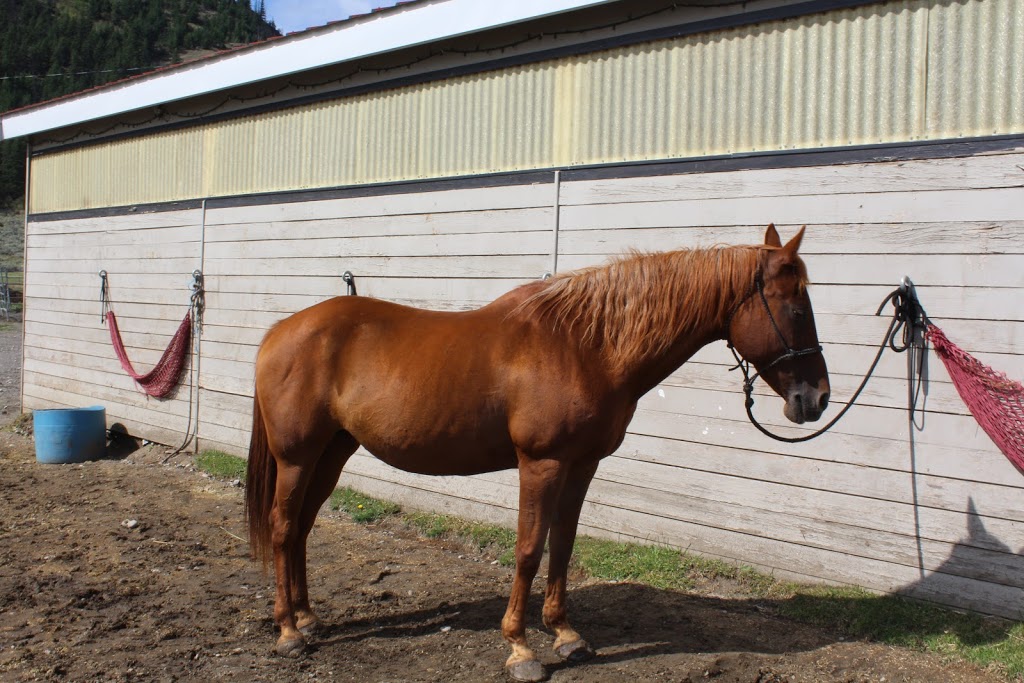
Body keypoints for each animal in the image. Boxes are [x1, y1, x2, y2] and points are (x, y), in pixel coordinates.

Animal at [247, 225, 831, 683]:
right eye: (797, 307)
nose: (817, 399)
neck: (585, 346)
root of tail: (280, 331)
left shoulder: (582, 464)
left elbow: (563, 545)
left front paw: (566, 635)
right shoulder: (541, 463)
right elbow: (529, 548)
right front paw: (521, 649)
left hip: (332, 452)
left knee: (301, 529)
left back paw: (308, 618)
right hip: (298, 457)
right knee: (282, 527)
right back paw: (288, 632)